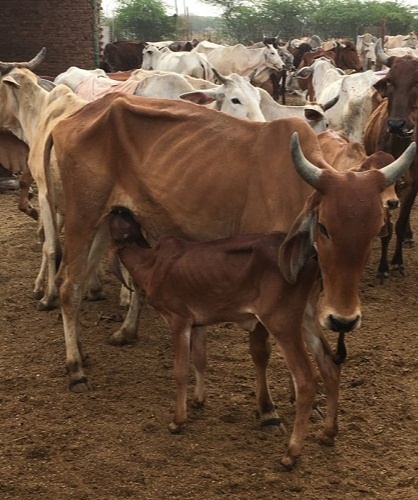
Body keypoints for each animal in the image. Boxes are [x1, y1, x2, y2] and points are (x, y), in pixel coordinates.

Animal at [108, 207, 336, 468]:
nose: (117, 208)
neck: (152, 263)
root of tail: (310, 257)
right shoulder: (198, 322)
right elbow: (200, 359)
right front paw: (198, 399)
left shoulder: (178, 320)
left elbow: (180, 371)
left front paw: (178, 420)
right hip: (307, 317)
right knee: (330, 364)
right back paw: (329, 432)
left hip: (282, 322)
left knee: (307, 380)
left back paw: (292, 452)